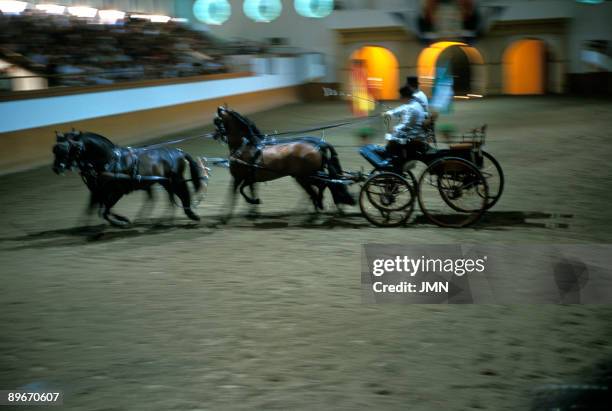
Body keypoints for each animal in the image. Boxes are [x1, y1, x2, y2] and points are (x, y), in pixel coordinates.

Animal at [52, 130, 206, 227]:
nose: (56, 168)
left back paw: (189, 214)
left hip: (175, 180)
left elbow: (105, 211)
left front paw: (121, 222)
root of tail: (179, 152)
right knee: (170, 198)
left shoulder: (116, 192)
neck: (111, 160)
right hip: (165, 182)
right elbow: (98, 209)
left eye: (70, 148)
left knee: (182, 194)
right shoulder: (99, 191)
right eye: (54, 149)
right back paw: (165, 219)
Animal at [213, 104, 354, 219]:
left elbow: (235, 193)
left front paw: (225, 215)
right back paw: (315, 206)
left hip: (305, 176)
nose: (214, 135)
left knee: (322, 186)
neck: (244, 147)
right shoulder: (249, 178)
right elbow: (248, 191)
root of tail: (318, 146)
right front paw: (252, 211)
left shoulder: (238, 177)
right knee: (322, 186)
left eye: (217, 121)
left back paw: (318, 205)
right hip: (305, 176)